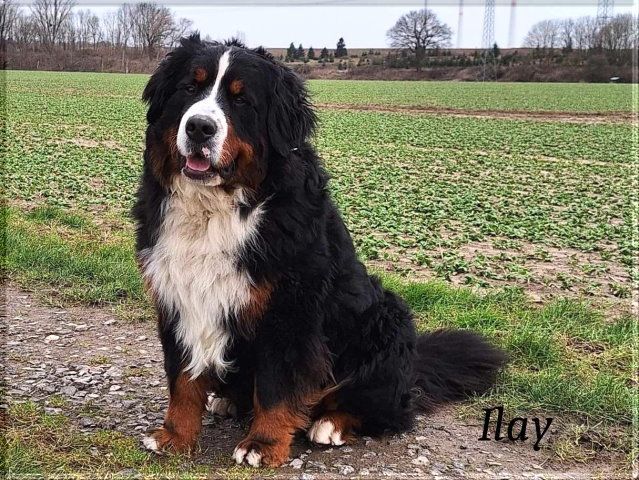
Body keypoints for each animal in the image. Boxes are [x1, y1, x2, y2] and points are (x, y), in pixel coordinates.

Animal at [133, 34, 506, 468]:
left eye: (242, 100)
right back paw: (227, 401)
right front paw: (174, 436)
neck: (216, 209)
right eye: (189, 89)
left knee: (388, 410)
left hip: (387, 319)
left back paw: (330, 423)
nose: (198, 127)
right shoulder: (178, 293)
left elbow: (276, 385)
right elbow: (182, 380)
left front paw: (263, 445)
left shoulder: (289, 310)